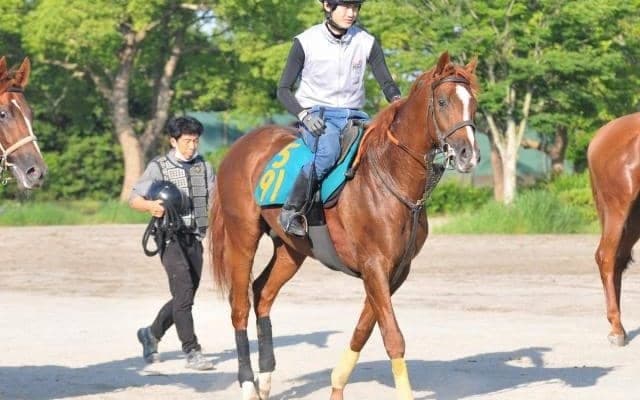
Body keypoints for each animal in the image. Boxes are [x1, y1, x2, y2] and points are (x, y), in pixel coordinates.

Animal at [209, 52, 479, 400]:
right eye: (443, 101)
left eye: (473, 103)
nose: (468, 154)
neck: (390, 175)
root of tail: (238, 147)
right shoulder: (374, 265)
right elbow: (393, 337)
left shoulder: (395, 271)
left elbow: (363, 331)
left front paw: (337, 385)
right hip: (242, 236)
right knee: (240, 305)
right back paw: (247, 385)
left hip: (291, 250)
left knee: (263, 293)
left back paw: (265, 379)